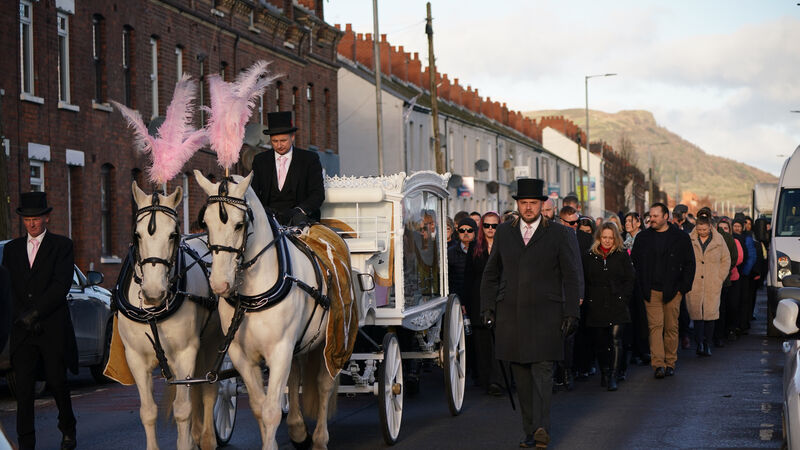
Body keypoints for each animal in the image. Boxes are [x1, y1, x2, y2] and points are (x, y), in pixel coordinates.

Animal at [114, 181, 223, 450]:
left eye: (173, 234)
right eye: (137, 235)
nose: (153, 293)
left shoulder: (185, 352)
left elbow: (183, 409)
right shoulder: (135, 358)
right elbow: (148, 412)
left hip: (212, 343)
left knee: (209, 391)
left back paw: (207, 438)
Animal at [194, 171, 338, 450]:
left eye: (239, 225)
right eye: (205, 223)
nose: (219, 284)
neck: (252, 294)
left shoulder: (280, 349)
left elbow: (271, 410)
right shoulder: (242, 355)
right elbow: (260, 407)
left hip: (332, 341)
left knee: (324, 385)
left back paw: (320, 438)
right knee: (295, 378)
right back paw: (298, 429)